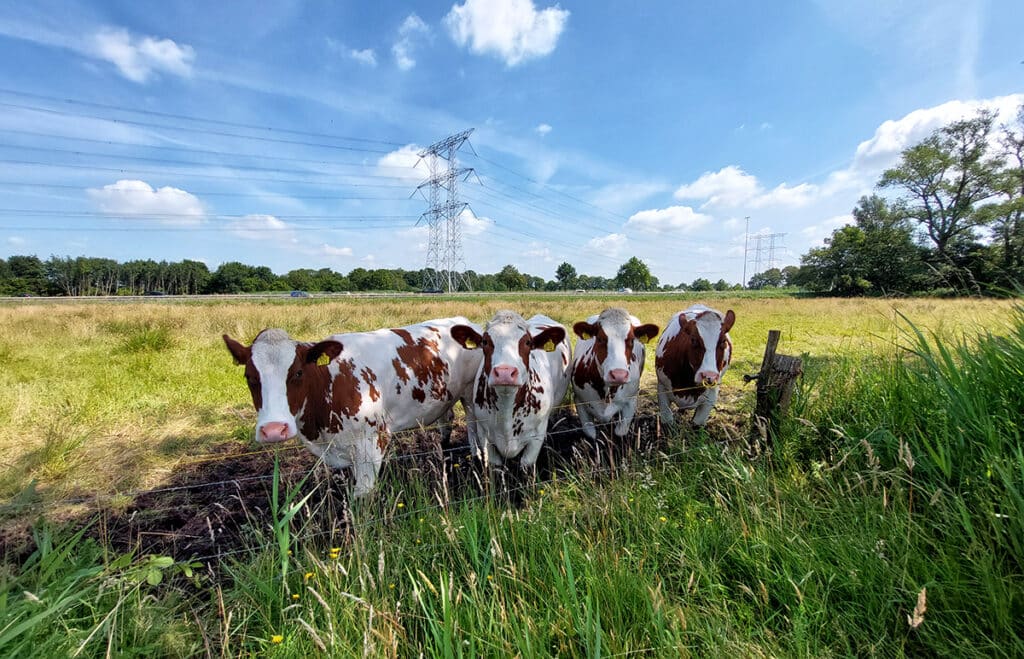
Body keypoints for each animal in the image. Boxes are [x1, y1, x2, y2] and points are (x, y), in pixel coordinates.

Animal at [221, 317, 483, 497]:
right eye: (249, 377)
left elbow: (361, 500)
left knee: (472, 426)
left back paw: (476, 456)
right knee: (446, 419)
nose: (274, 429)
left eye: (298, 373)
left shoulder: (373, 441)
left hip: (470, 394)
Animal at [450, 309, 573, 478]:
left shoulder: (536, 438)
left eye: (527, 342)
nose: (504, 373)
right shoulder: (485, 436)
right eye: (485, 342)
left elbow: (526, 469)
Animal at [573, 309, 659, 442]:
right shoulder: (579, 401)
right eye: (600, 339)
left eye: (632, 340)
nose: (619, 375)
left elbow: (620, 433)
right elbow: (591, 435)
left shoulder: (630, 401)